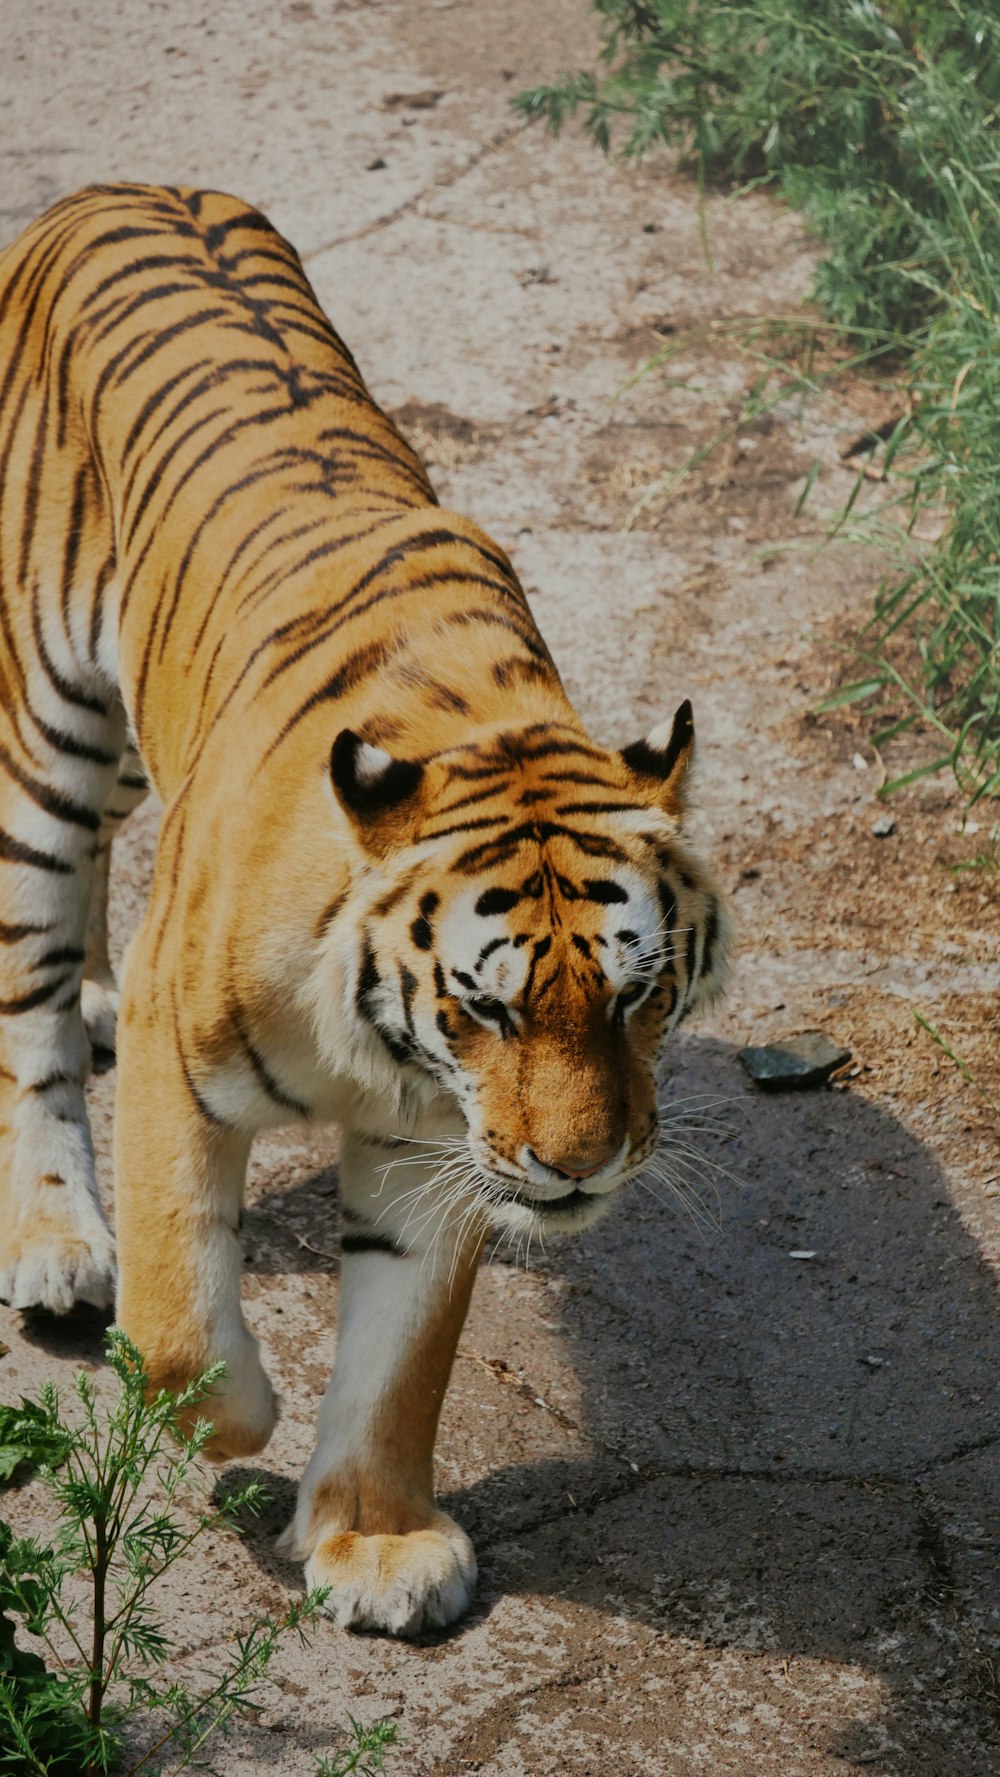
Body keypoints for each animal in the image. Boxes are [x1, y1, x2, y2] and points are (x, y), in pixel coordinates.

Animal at [0, 187, 728, 1627]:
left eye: (639, 995)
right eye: (489, 1010)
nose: (582, 1168)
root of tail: (119, 188)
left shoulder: (437, 1143)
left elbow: (403, 1355)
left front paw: (377, 1542)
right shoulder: (187, 1067)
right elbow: (178, 1314)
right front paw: (224, 1424)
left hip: (130, 737)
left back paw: (95, 985)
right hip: (44, 729)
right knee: (30, 1009)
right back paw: (56, 1236)